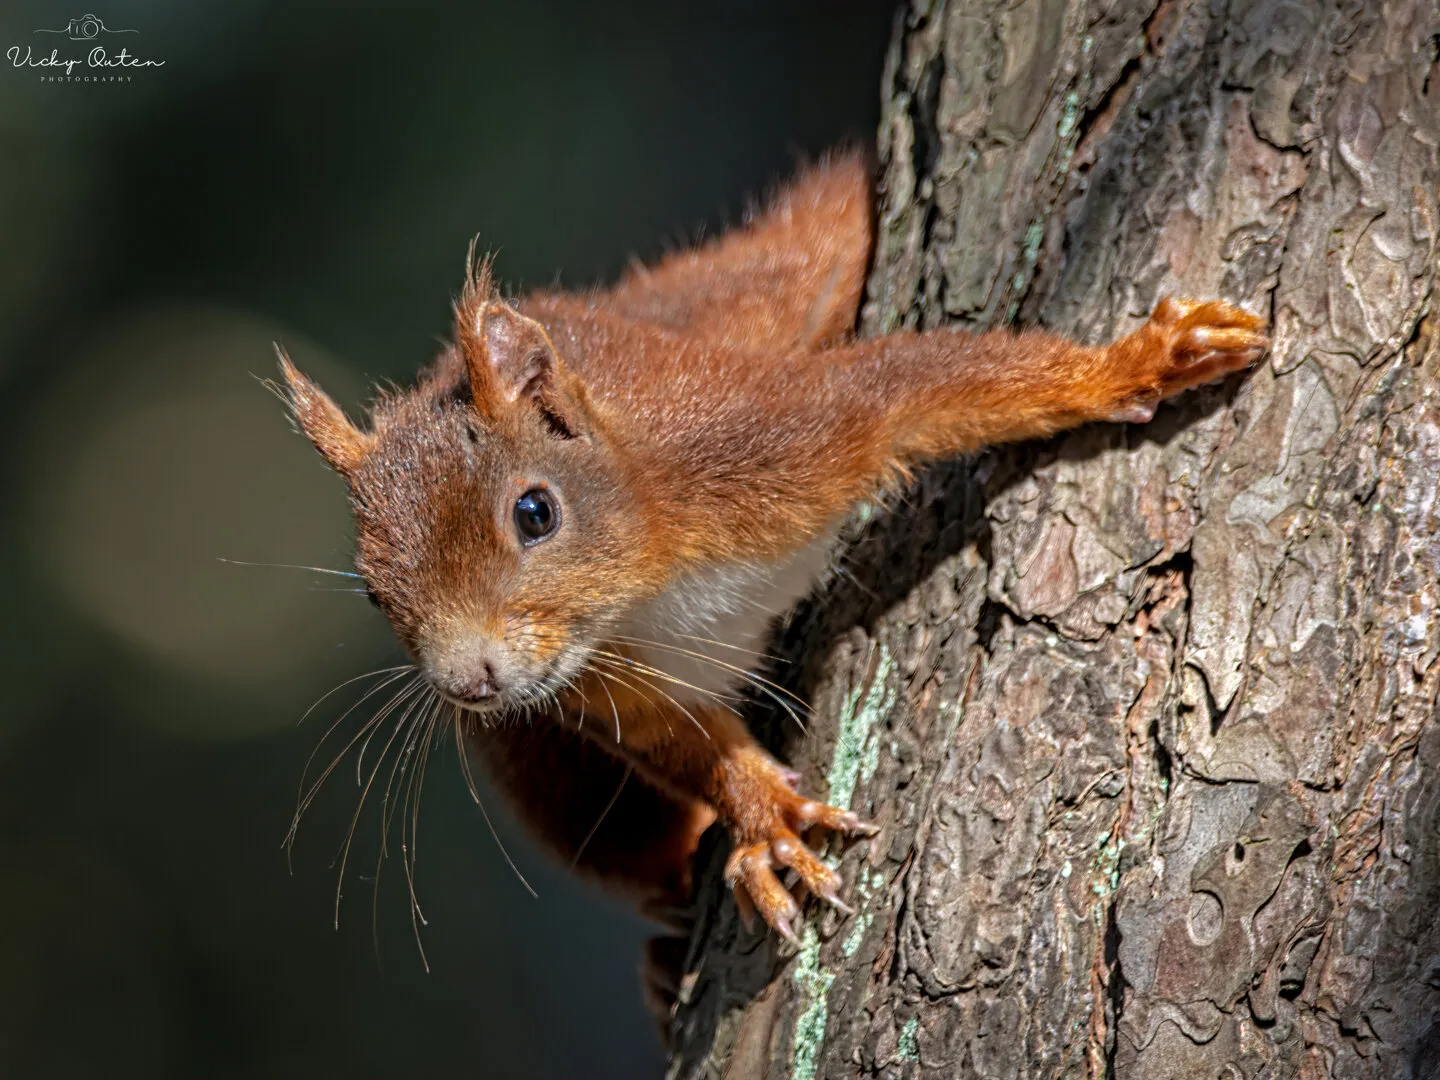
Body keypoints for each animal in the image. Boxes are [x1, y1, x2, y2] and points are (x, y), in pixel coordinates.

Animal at [278, 150, 1266, 999]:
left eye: (534, 512)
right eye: (374, 591)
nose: (468, 683)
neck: (644, 597)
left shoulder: (762, 443)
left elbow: (919, 383)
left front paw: (1129, 365)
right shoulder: (605, 692)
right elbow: (691, 748)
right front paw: (761, 820)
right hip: (532, 759)